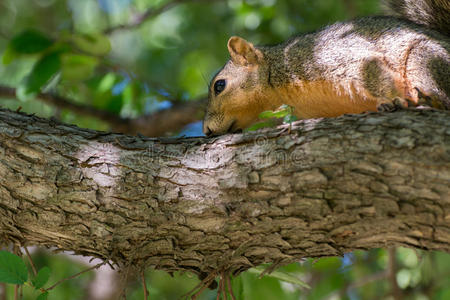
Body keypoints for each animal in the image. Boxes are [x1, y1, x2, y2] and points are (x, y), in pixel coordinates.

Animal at [203, 0, 446, 136]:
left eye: (219, 86)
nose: (206, 131)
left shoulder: (327, 59)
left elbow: (374, 72)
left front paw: (394, 100)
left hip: (424, 60)